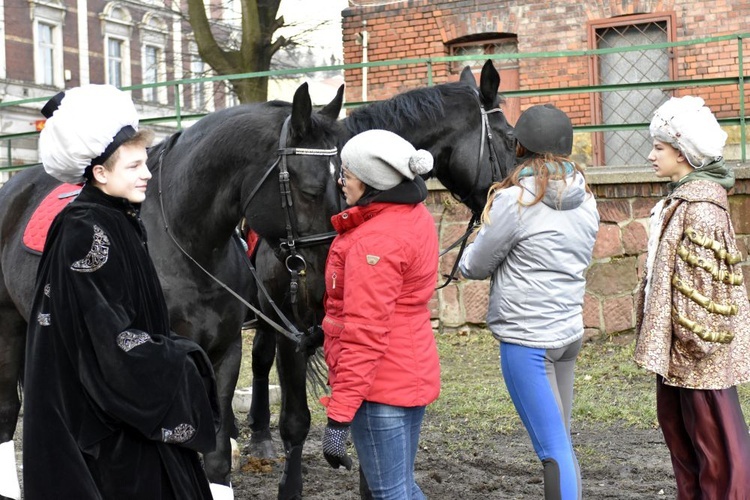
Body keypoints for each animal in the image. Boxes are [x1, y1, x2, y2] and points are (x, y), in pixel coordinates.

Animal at [0, 81, 344, 496]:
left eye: (343, 183)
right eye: (309, 191)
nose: (325, 283)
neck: (187, 244)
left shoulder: (224, 351)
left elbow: (216, 455)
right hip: (7, 325)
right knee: (7, 411)